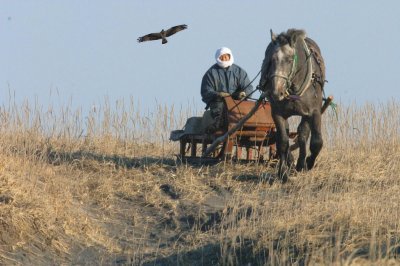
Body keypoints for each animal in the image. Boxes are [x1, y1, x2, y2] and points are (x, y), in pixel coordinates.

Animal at [258, 29, 326, 183]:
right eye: (272, 59)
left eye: (290, 60)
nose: (276, 92)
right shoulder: (277, 113)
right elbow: (282, 141)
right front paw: (283, 173)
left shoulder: (314, 112)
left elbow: (316, 142)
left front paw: (308, 163)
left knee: (302, 134)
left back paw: (301, 164)